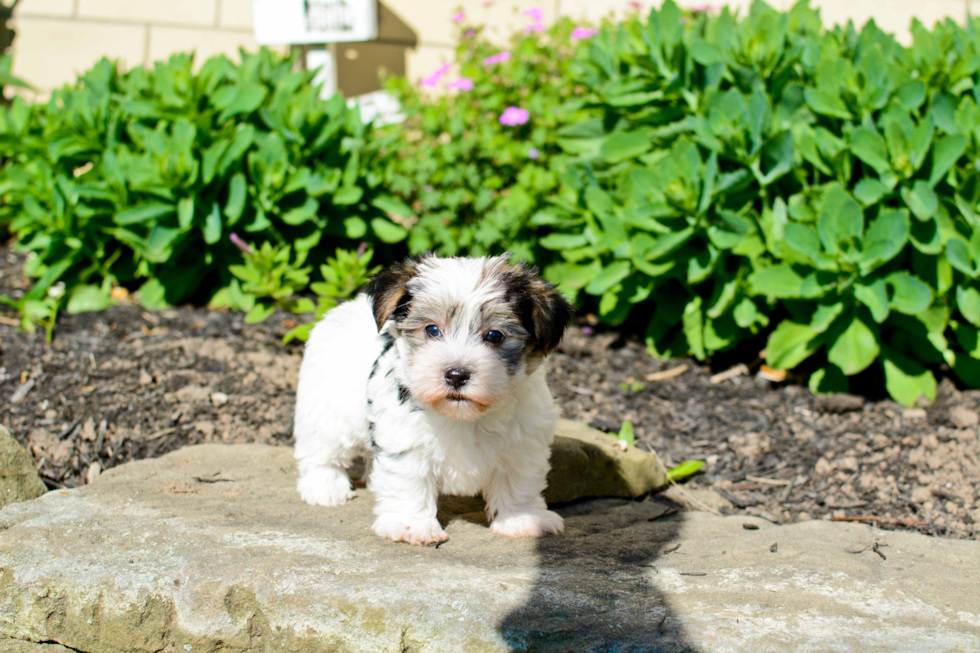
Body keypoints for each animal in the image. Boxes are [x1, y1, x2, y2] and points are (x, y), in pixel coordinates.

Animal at [294, 255, 580, 544]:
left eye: (494, 335)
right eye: (431, 330)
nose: (456, 374)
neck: (461, 415)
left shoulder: (525, 443)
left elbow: (519, 481)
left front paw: (522, 519)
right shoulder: (405, 440)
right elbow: (408, 480)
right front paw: (411, 525)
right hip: (325, 405)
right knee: (322, 448)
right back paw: (326, 486)